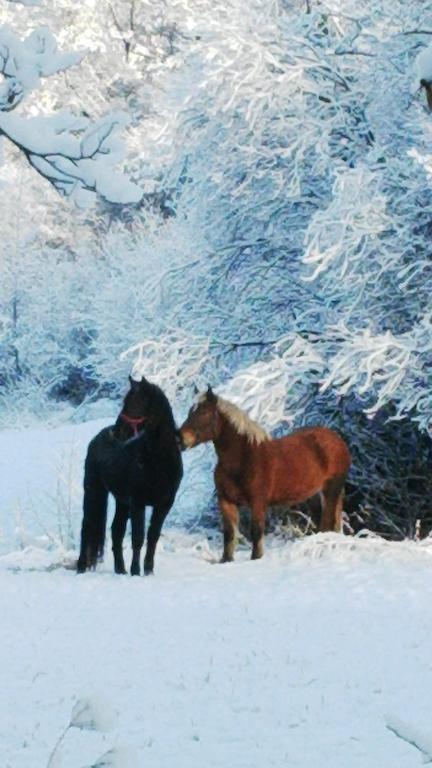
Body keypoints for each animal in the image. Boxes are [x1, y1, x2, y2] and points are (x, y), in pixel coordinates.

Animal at [77, 378, 183, 576]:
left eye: (134, 402)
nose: (116, 430)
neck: (158, 459)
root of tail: (98, 437)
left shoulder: (163, 505)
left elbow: (152, 537)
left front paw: (148, 571)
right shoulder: (138, 503)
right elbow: (138, 537)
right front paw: (136, 571)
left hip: (122, 502)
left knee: (116, 530)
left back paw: (120, 569)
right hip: (94, 492)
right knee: (87, 526)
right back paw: (81, 568)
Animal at [179, 390, 352, 560]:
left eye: (204, 413)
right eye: (190, 412)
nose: (180, 439)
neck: (243, 458)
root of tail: (337, 439)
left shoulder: (258, 502)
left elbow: (256, 532)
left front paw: (256, 558)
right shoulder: (226, 501)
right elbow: (229, 534)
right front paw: (226, 560)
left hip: (331, 490)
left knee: (328, 524)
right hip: (317, 495)